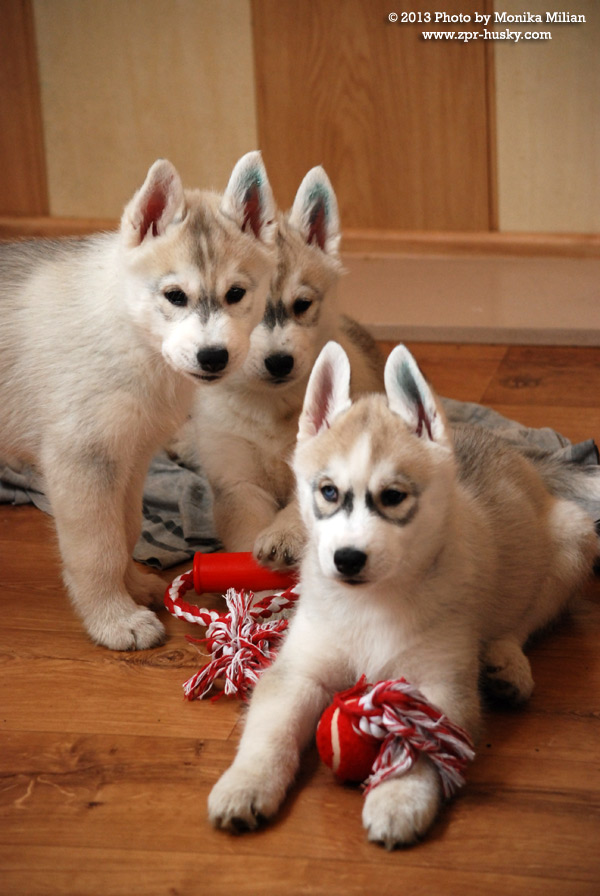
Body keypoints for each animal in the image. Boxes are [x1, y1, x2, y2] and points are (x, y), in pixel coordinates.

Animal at [0, 152, 276, 649]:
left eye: (236, 294)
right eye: (175, 296)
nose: (213, 356)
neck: (128, 332)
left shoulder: (130, 456)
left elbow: (126, 530)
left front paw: (133, 586)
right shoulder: (81, 461)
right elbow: (98, 549)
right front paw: (114, 619)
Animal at [171, 166, 384, 566]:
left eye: (302, 304)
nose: (279, 362)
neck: (270, 409)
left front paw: (282, 537)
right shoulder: (238, 483)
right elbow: (244, 526)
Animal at [208, 341, 596, 847]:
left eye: (393, 497)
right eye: (328, 492)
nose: (347, 559)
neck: (371, 603)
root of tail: (513, 452)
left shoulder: (439, 686)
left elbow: (426, 745)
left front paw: (398, 799)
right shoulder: (298, 672)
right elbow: (269, 732)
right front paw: (245, 783)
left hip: (573, 537)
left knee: (523, 621)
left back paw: (506, 663)